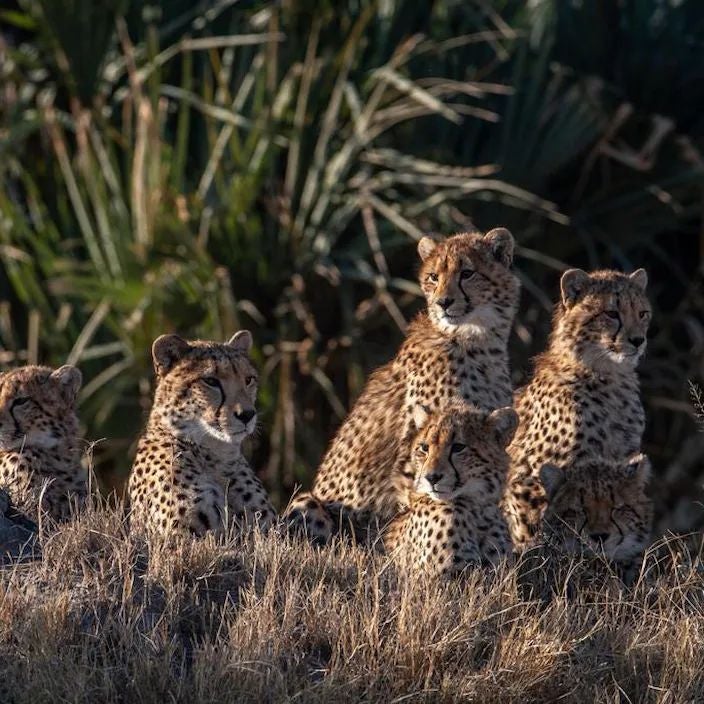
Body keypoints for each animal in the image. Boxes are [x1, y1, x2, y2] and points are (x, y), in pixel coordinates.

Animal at [284, 228, 520, 540]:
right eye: (433, 277)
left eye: (467, 273)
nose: (443, 302)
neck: (477, 340)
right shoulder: (415, 452)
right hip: (309, 502)